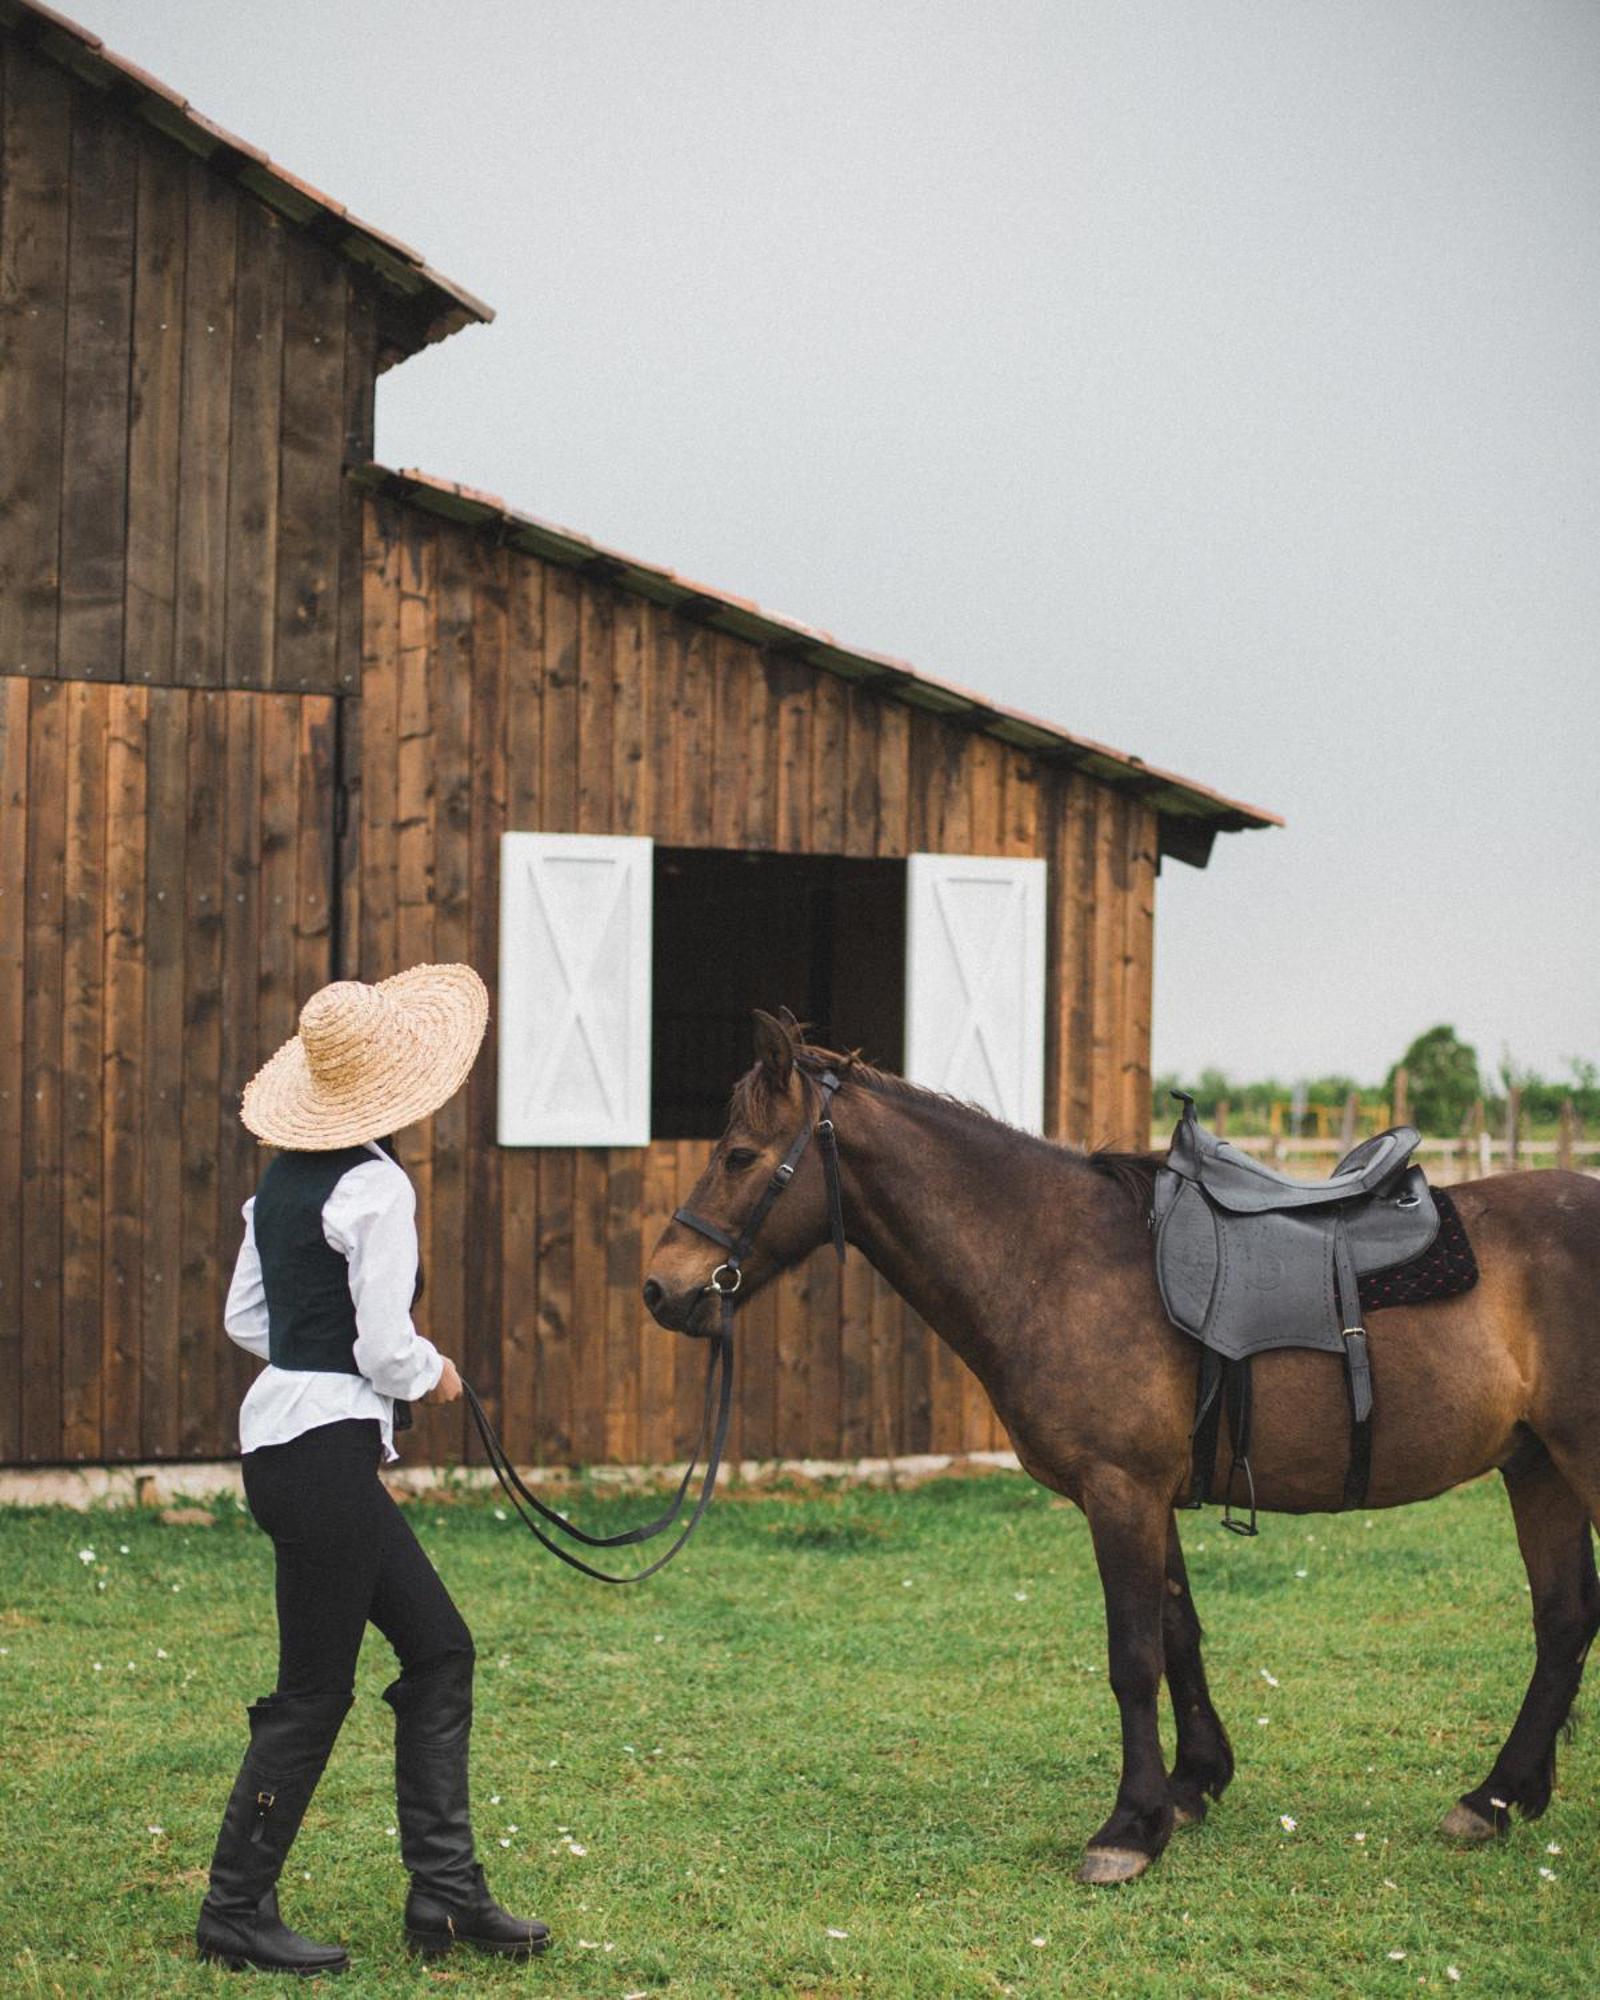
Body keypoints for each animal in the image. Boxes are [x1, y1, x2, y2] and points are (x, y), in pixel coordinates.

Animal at [644, 1008, 1600, 1880]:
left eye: (739, 1156)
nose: (662, 1289)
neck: (1060, 1258)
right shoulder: (1151, 1496)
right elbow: (1179, 1634)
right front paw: (1193, 1784)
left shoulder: (1120, 1492)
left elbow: (1133, 1657)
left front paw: (1130, 1829)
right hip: (1537, 1470)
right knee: (1563, 1621)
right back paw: (1496, 1799)